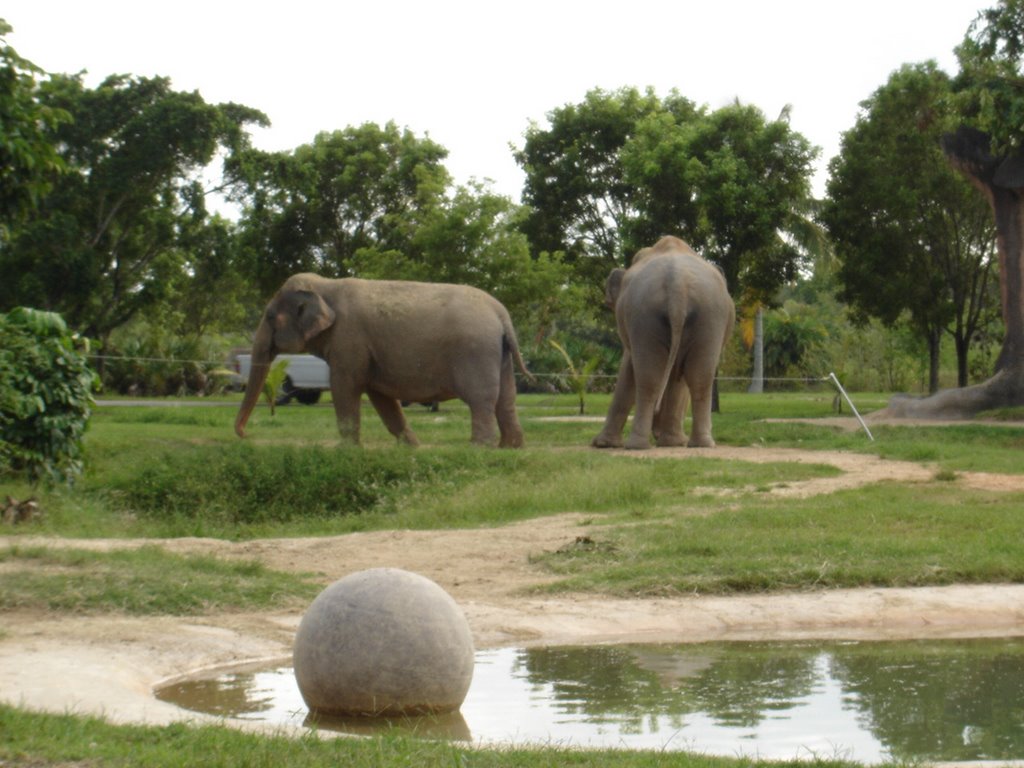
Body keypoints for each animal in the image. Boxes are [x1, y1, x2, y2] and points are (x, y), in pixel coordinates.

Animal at [234, 274, 532, 448]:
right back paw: (510, 448)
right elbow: (380, 395)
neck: (326, 284)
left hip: (476, 351)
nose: (246, 436)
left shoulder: (349, 340)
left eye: (270, 317)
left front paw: (347, 451)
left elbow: (345, 388)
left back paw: (479, 448)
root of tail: (501, 314)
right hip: (499, 354)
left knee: (481, 399)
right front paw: (411, 447)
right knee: (506, 399)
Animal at [593, 234, 737, 450]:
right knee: (699, 376)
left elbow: (629, 369)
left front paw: (602, 444)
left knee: (648, 378)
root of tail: (678, 283)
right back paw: (701, 444)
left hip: (645, 316)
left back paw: (639, 445)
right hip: (710, 317)